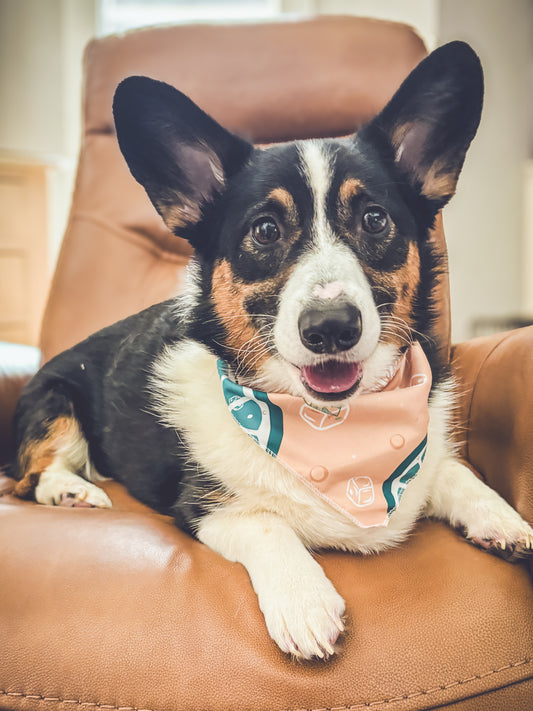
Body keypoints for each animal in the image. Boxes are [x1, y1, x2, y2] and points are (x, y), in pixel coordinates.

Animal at [9, 40, 532, 660]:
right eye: (264, 230)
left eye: (374, 219)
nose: (330, 328)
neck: (335, 427)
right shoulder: (206, 509)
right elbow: (266, 523)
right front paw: (304, 602)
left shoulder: (430, 458)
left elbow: (450, 471)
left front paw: (503, 519)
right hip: (54, 403)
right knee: (30, 475)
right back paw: (73, 490)